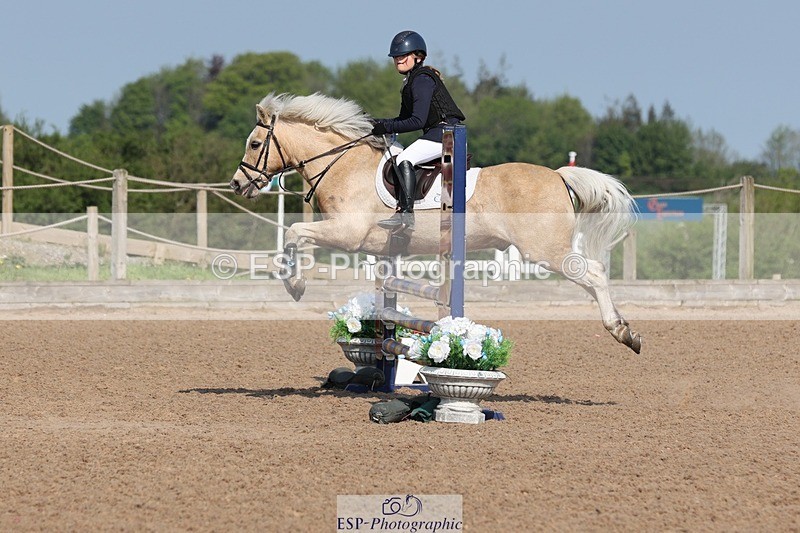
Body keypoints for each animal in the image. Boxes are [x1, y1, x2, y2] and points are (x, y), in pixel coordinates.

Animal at [229, 92, 642, 354]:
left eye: (254, 144)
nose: (237, 184)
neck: (342, 163)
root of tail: (558, 176)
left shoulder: (348, 234)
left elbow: (294, 233)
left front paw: (295, 285)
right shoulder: (352, 239)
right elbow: (298, 240)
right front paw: (295, 280)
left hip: (544, 251)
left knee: (594, 274)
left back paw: (622, 332)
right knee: (590, 276)